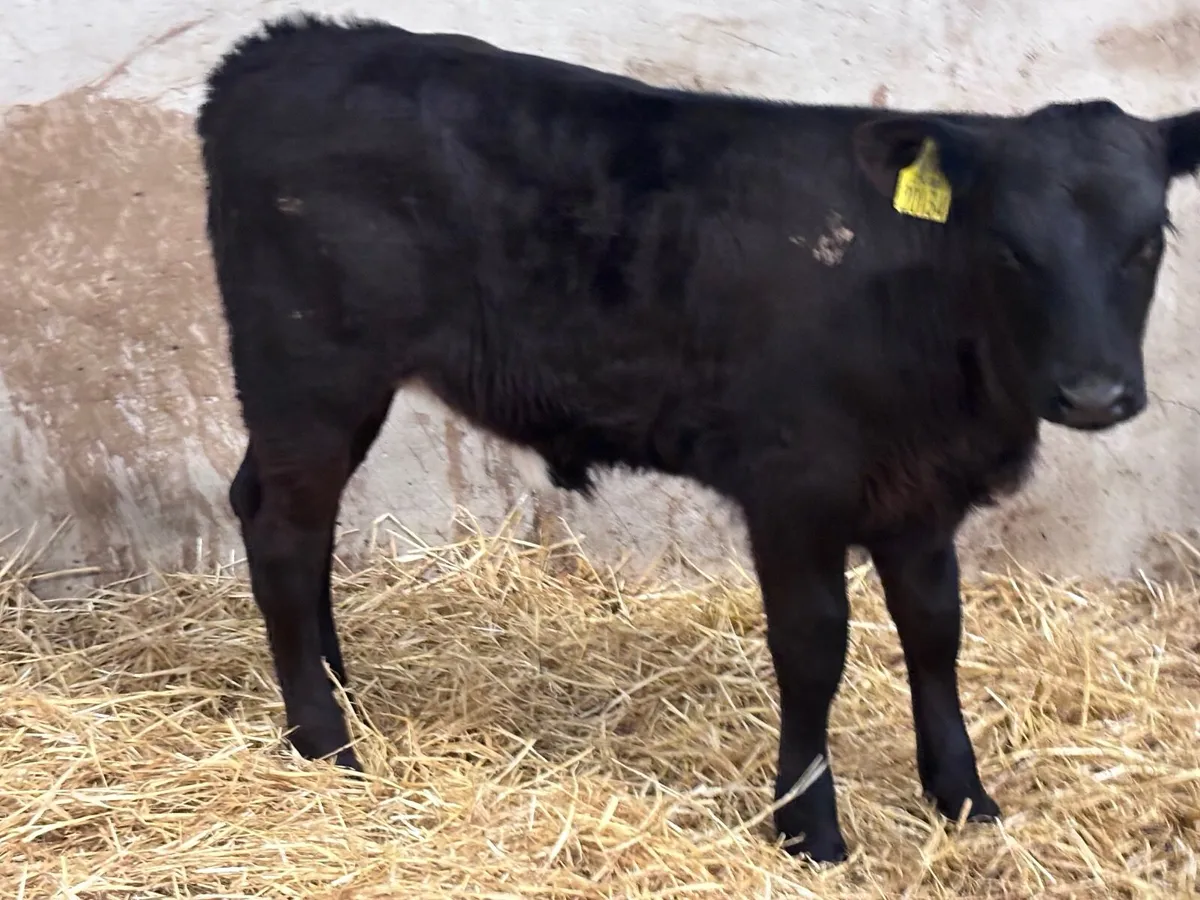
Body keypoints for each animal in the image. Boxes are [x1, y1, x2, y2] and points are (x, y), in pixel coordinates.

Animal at [196, 13, 1200, 863]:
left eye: (1148, 239)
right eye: (1010, 247)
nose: (1093, 393)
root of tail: (281, 46)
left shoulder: (922, 495)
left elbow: (935, 632)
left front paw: (964, 799)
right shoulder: (794, 487)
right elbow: (814, 646)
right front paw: (809, 827)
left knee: (291, 515)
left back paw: (339, 694)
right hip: (310, 364)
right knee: (284, 530)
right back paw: (326, 743)